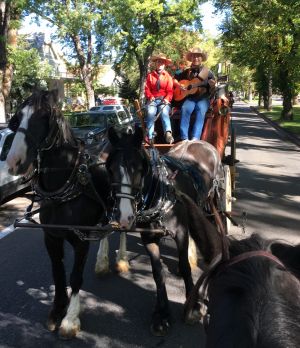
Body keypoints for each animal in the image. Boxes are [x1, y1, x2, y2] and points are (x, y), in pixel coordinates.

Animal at [5, 89, 111, 338]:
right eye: (17, 118)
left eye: (44, 117)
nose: (14, 162)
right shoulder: (51, 237)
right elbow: (57, 271)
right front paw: (57, 309)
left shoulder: (82, 240)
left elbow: (75, 276)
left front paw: (70, 319)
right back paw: (103, 262)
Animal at [105, 125, 223, 334]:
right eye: (110, 169)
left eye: (138, 169)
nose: (124, 216)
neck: (160, 193)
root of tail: (198, 141)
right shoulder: (149, 238)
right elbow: (157, 273)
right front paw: (162, 314)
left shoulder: (181, 232)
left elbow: (184, 266)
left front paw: (193, 305)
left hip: (212, 199)